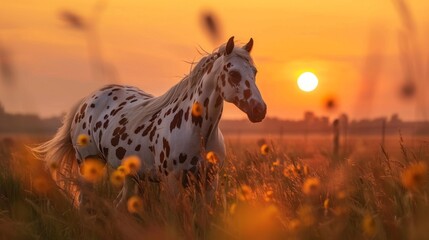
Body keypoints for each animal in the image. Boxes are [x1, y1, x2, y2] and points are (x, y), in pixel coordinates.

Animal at [33, 36, 266, 209]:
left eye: (254, 72)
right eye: (234, 74)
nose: (260, 110)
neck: (197, 131)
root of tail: (88, 99)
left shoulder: (209, 182)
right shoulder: (172, 183)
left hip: (130, 175)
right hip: (88, 166)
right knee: (84, 202)